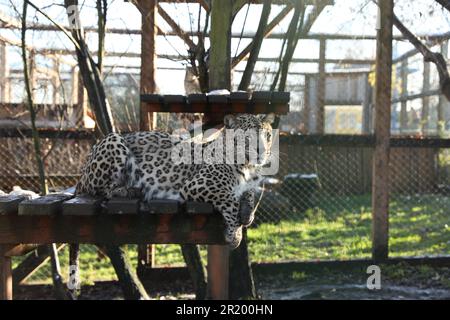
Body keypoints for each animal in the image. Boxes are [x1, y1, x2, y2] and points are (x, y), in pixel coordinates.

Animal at [75, 114, 276, 249]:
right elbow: (231, 201)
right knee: (97, 189)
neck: (249, 167)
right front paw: (234, 235)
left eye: (267, 135)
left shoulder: (248, 186)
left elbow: (249, 195)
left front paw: (247, 214)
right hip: (113, 140)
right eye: (247, 137)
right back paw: (129, 190)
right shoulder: (198, 184)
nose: (262, 151)